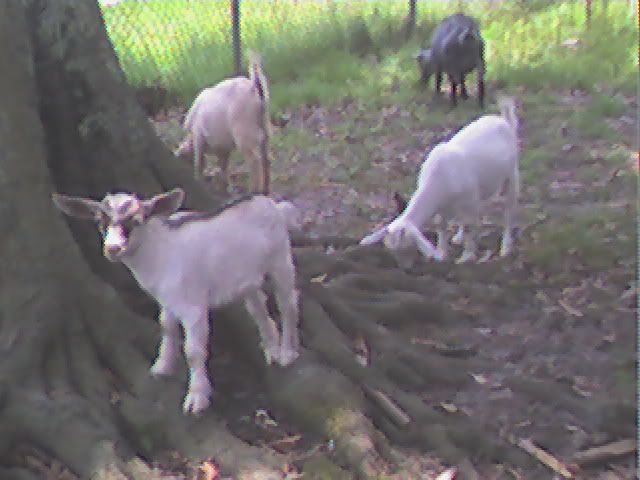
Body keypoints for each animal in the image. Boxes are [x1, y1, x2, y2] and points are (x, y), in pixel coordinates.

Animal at [52, 188, 301, 415]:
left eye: (137, 220)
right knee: (257, 304)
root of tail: (275, 206)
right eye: (99, 220)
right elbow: (167, 327)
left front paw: (197, 398)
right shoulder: (168, 301)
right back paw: (271, 349)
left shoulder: (193, 307)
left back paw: (287, 354)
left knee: (287, 303)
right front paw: (162, 367)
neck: (161, 253)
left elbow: (193, 352)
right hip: (247, 275)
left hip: (280, 258)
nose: (113, 248)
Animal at [175, 52, 271, 194]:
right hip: (264, 126)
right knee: (265, 159)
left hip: (243, 132)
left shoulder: (199, 138)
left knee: (254, 161)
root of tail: (254, 87)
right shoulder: (224, 148)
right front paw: (224, 188)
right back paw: (265, 189)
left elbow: (199, 163)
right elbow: (223, 167)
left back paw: (254, 191)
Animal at [360, 96, 520, 267]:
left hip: (512, 174)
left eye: (407, 248)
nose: (405, 268)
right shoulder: (443, 207)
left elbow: (469, 227)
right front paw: (442, 253)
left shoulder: (469, 201)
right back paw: (459, 237)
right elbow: (441, 227)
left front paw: (466, 257)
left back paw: (506, 248)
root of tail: (504, 120)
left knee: (509, 210)